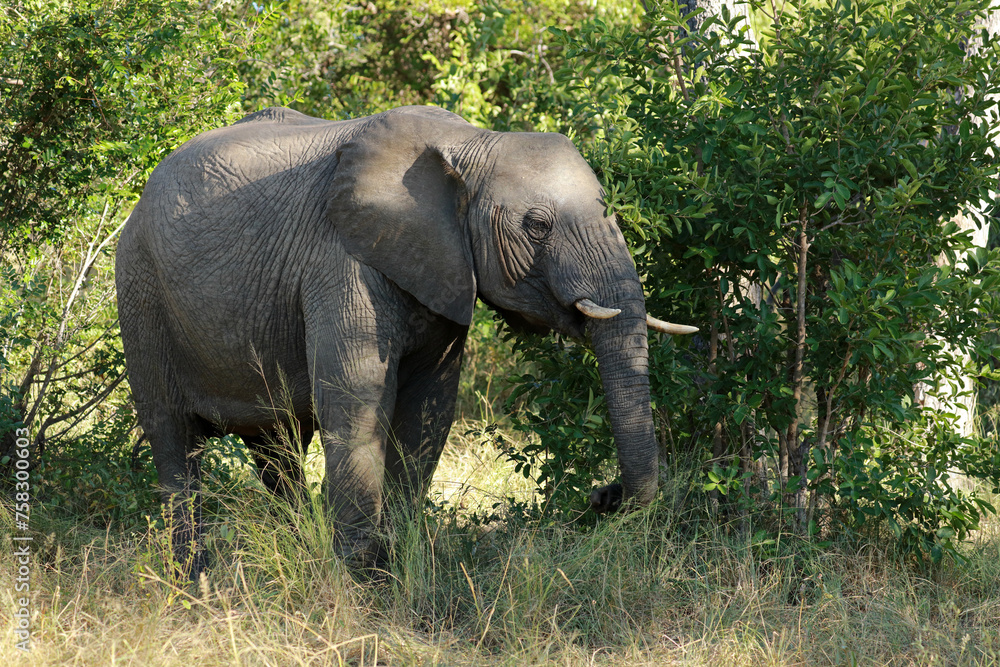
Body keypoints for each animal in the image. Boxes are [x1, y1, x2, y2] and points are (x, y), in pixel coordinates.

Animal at [115, 105, 697, 575]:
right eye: (537, 225)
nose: (603, 496)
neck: (469, 145)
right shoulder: (341, 259)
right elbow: (357, 400)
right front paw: (362, 579)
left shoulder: (442, 269)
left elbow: (428, 410)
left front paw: (395, 562)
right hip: (140, 290)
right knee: (173, 440)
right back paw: (192, 582)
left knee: (276, 448)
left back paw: (290, 547)